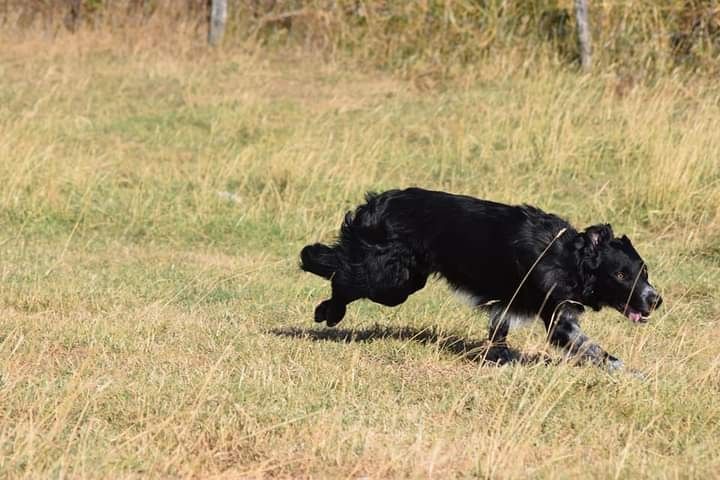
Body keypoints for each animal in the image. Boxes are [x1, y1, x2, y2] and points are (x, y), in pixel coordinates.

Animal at [300, 188, 664, 372]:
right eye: (620, 275)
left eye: (644, 272)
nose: (655, 299)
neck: (569, 258)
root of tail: (374, 204)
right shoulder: (559, 319)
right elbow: (593, 349)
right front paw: (627, 372)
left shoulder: (509, 303)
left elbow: (498, 332)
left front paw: (499, 359)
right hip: (389, 279)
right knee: (332, 270)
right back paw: (327, 311)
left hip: (405, 280)